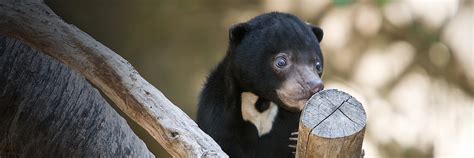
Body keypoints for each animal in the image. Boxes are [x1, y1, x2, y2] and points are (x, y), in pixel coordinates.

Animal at [197, 12, 326, 158]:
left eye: (318, 65)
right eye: (281, 62)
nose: (315, 87)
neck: (261, 102)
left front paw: (294, 139)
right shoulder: (217, 115)